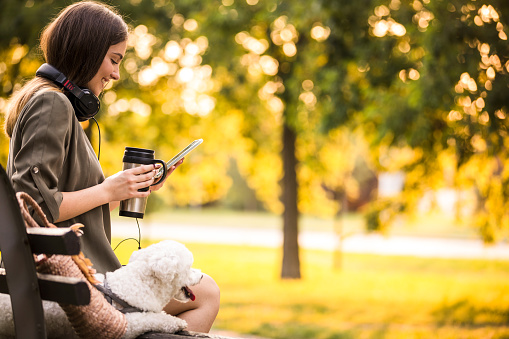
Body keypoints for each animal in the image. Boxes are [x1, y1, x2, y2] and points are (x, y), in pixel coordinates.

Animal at [0, 240, 202, 338]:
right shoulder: (126, 324)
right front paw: (177, 322)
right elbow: (153, 318)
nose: (201, 275)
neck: (140, 283)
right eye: (189, 266)